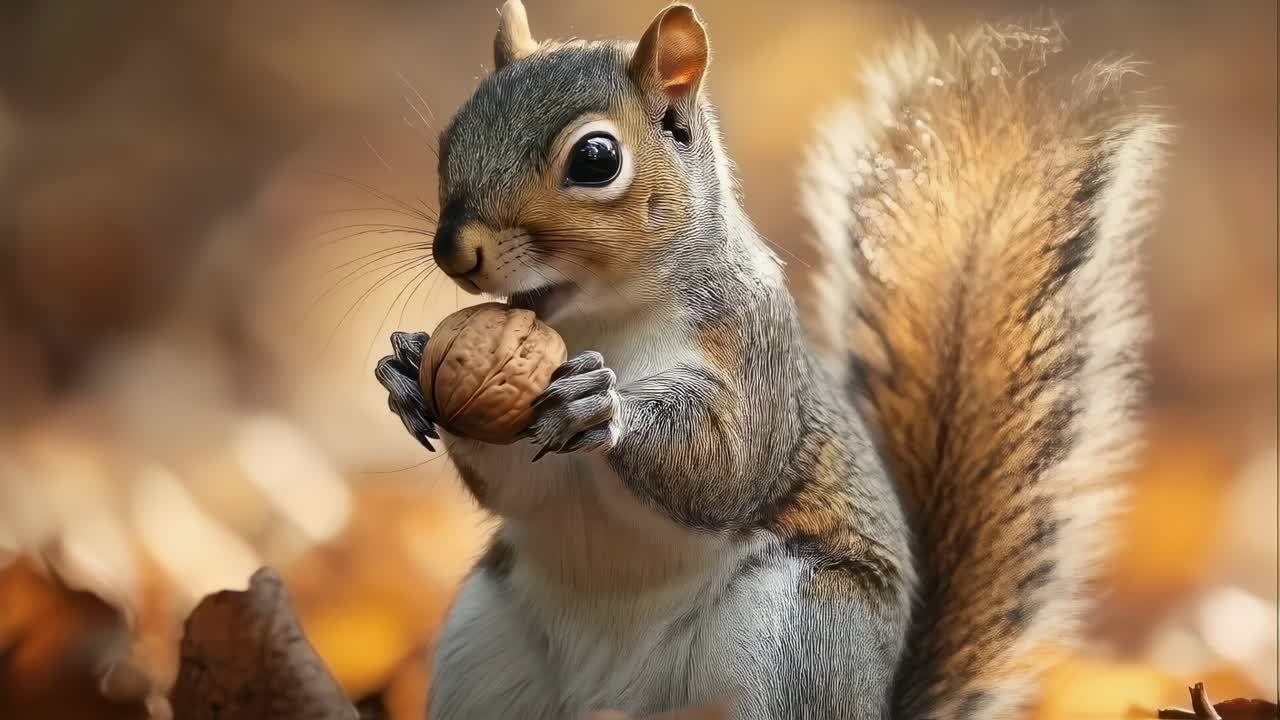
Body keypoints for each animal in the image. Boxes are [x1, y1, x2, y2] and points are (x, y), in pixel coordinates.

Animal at [373, 2, 1165, 718]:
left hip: (802, 636)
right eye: (452, 135)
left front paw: (608, 406)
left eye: (596, 160)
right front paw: (408, 374)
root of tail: (617, 697)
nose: (455, 249)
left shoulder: (757, 354)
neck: (601, 319)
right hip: (486, 649)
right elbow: (515, 485)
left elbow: (730, 463)